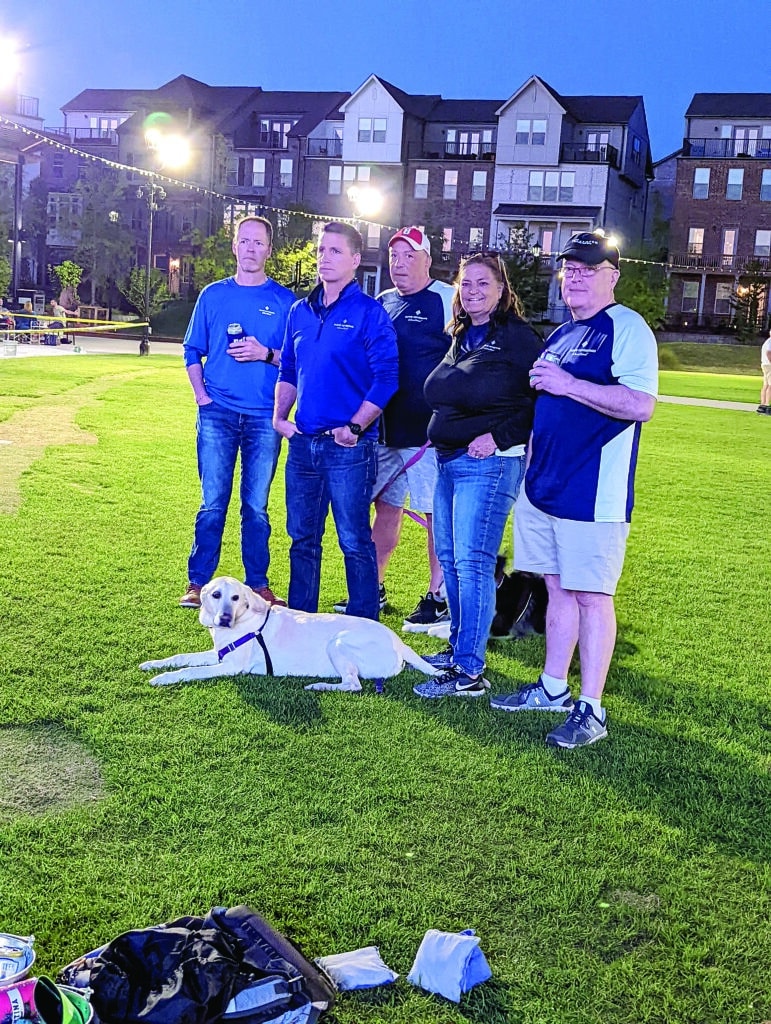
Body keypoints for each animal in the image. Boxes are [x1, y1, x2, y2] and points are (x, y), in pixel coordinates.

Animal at [140, 581, 436, 692]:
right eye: (216, 595)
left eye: (235, 597)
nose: (224, 619)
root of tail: (398, 641)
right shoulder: (218, 654)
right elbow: (182, 658)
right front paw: (154, 664)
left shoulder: (230, 666)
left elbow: (190, 670)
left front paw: (163, 678)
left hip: (339, 642)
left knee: (353, 685)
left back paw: (320, 686)